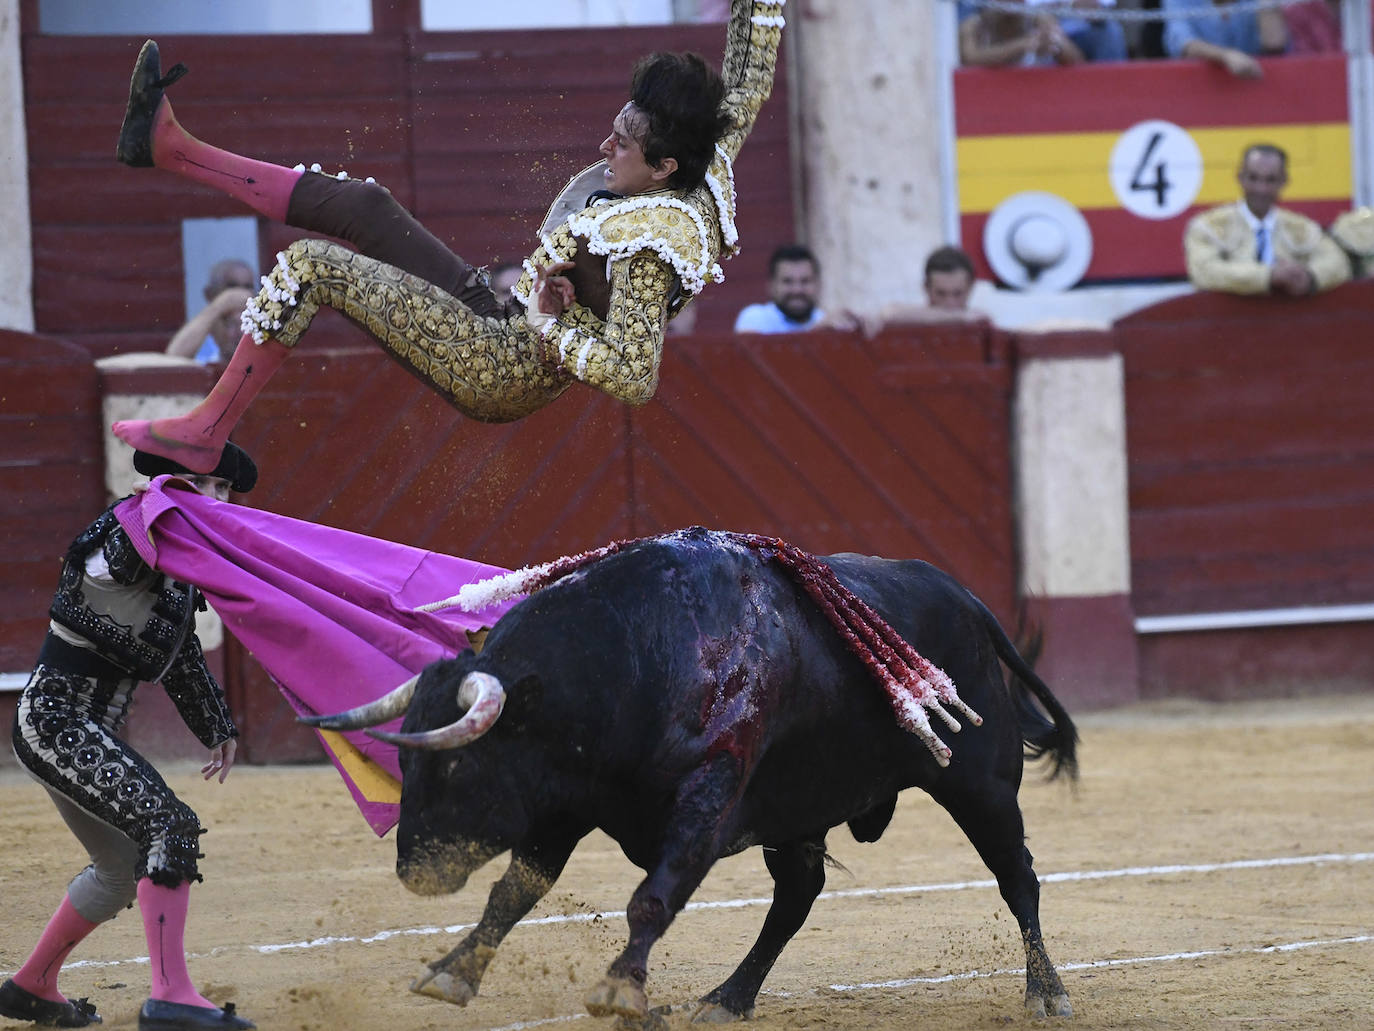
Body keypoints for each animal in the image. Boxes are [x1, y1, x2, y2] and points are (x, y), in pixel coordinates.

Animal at [306, 533, 1077, 1028]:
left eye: (460, 761)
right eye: (405, 763)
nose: (415, 870)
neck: (638, 651)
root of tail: (966, 598)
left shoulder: (709, 797)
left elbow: (655, 894)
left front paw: (620, 991)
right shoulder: (564, 804)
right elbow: (515, 891)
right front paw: (452, 973)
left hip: (980, 785)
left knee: (1018, 877)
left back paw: (1047, 994)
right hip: (800, 807)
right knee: (796, 896)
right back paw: (728, 998)